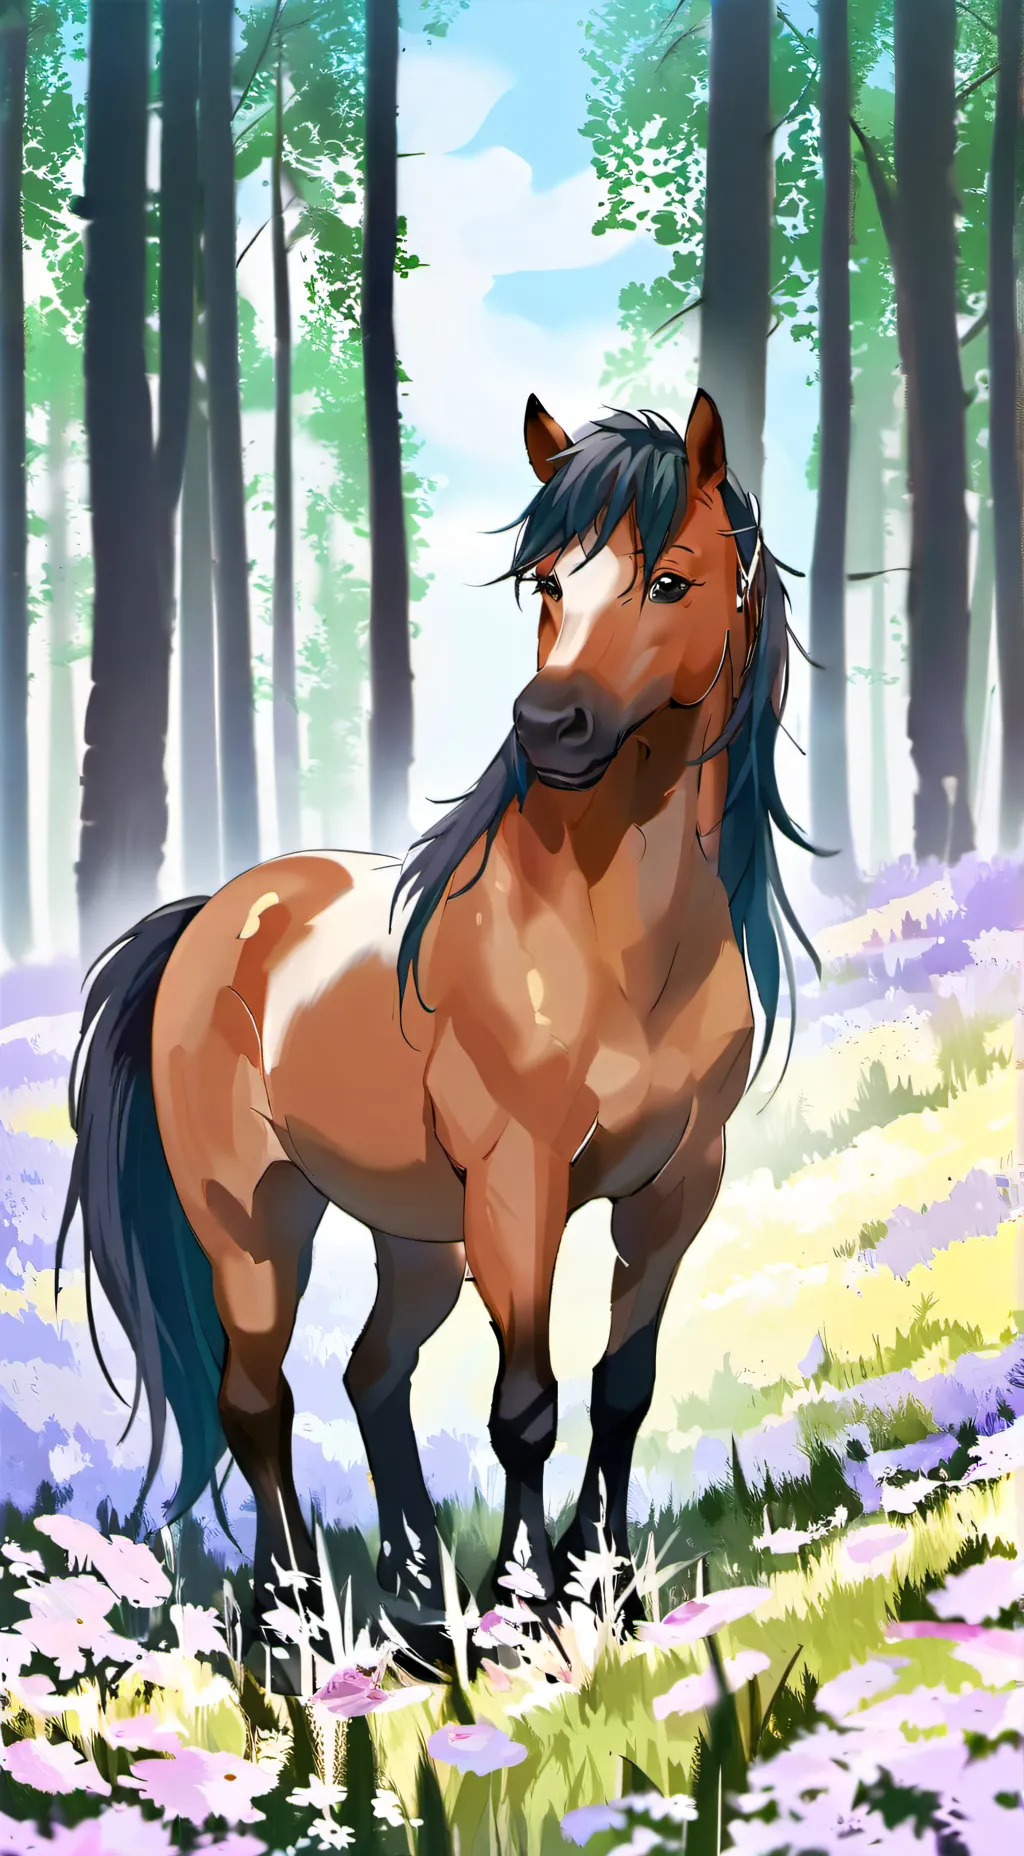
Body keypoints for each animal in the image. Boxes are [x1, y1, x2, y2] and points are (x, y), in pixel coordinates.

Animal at [58, 387, 819, 1690]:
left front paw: (602, 1587)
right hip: (257, 1220)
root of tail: (214, 913)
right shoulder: (519, 1187)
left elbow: (622, 1385)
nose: (550, 723)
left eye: (670, 579)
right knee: (258, 1400)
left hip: (416, 1234)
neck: (608, 939)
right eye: (549, 581)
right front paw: (525, 1611)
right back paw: (298, 1621)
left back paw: (417, 1604)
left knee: (372, 1372)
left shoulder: (677, 1186)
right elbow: (526, 1405)